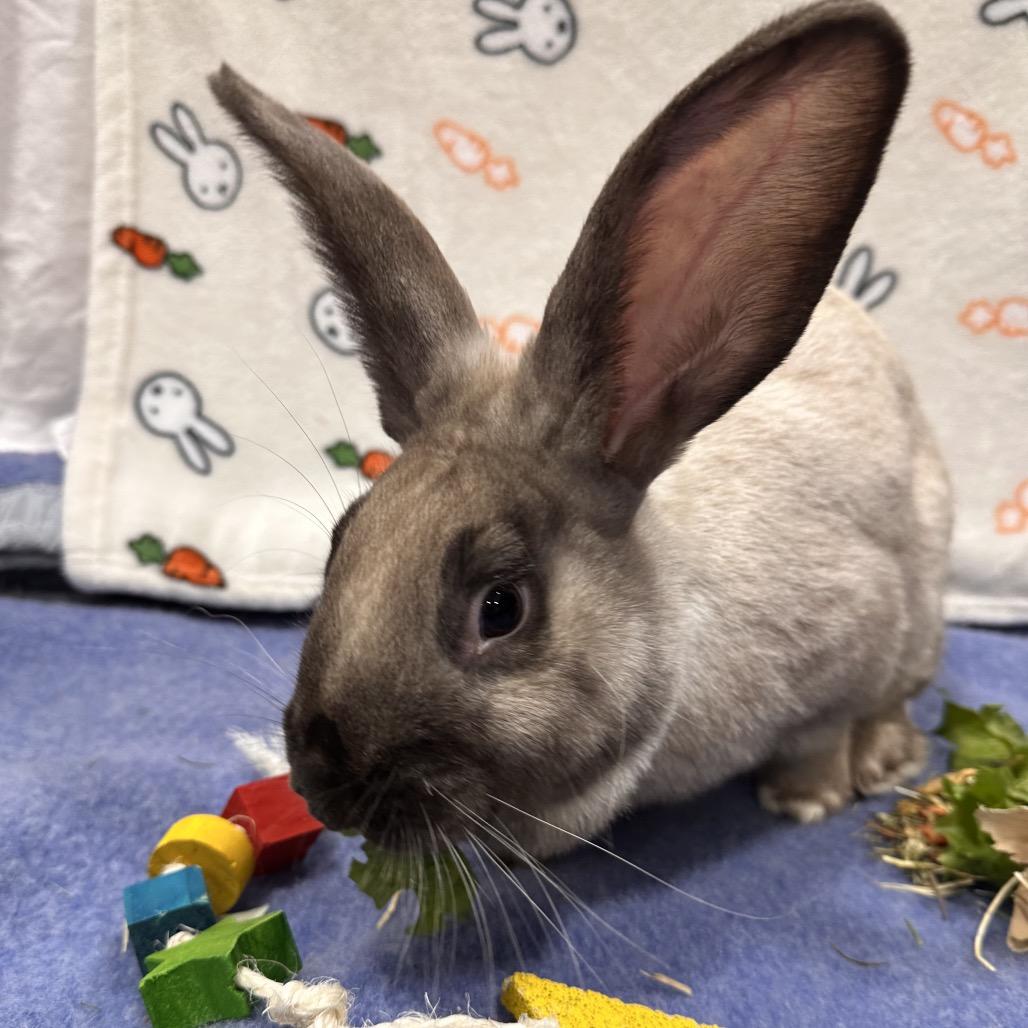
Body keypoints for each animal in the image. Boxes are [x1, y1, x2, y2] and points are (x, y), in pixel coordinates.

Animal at [210, 0, 952, 860]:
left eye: (501, 608)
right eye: (339, 548)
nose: (326, 787)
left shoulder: (853, 635)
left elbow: (822, 736)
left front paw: (806, 801)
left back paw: (885, 757)